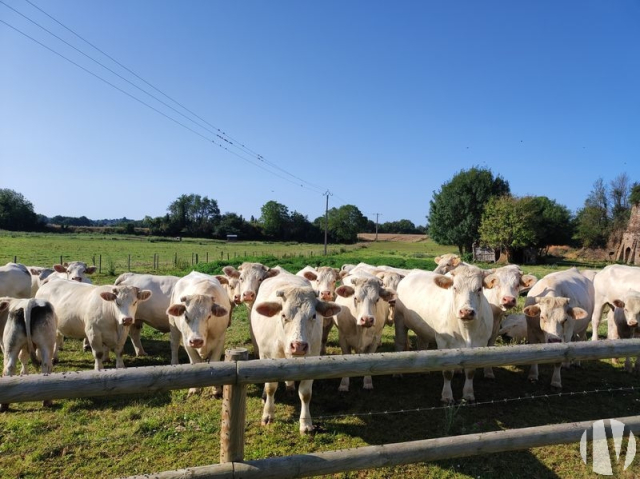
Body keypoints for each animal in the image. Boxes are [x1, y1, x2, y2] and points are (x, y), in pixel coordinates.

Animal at [168, 272, 230, 400]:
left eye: (209, 316)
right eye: (186, 316)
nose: (196, 341)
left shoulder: (220, 340)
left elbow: (215, 362)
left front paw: (216, 389)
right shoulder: (187, 342)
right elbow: (195, 361)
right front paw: (194, 389)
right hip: (173, 325)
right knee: (174, 344)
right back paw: (174, 362)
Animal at [250, 270, 342, 436]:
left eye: (313, 315)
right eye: (283, 315)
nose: (298, 346)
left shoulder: (312, 361)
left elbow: (305, 394)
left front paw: (306, 423)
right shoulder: (268, 358)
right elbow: (271, 387)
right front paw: (268, 415)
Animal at [396, 266, 496, 404]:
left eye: (479, 289)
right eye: (455, 288)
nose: (466, 312)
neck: (466, 332)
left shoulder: (480, 344)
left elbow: (470, 371)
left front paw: (468, 394)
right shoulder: (444, 342)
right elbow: (448, 372)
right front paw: (447, 396)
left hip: (422, 328)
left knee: (422, 343)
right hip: (400, 320)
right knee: (400, 343)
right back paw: (397, 374)